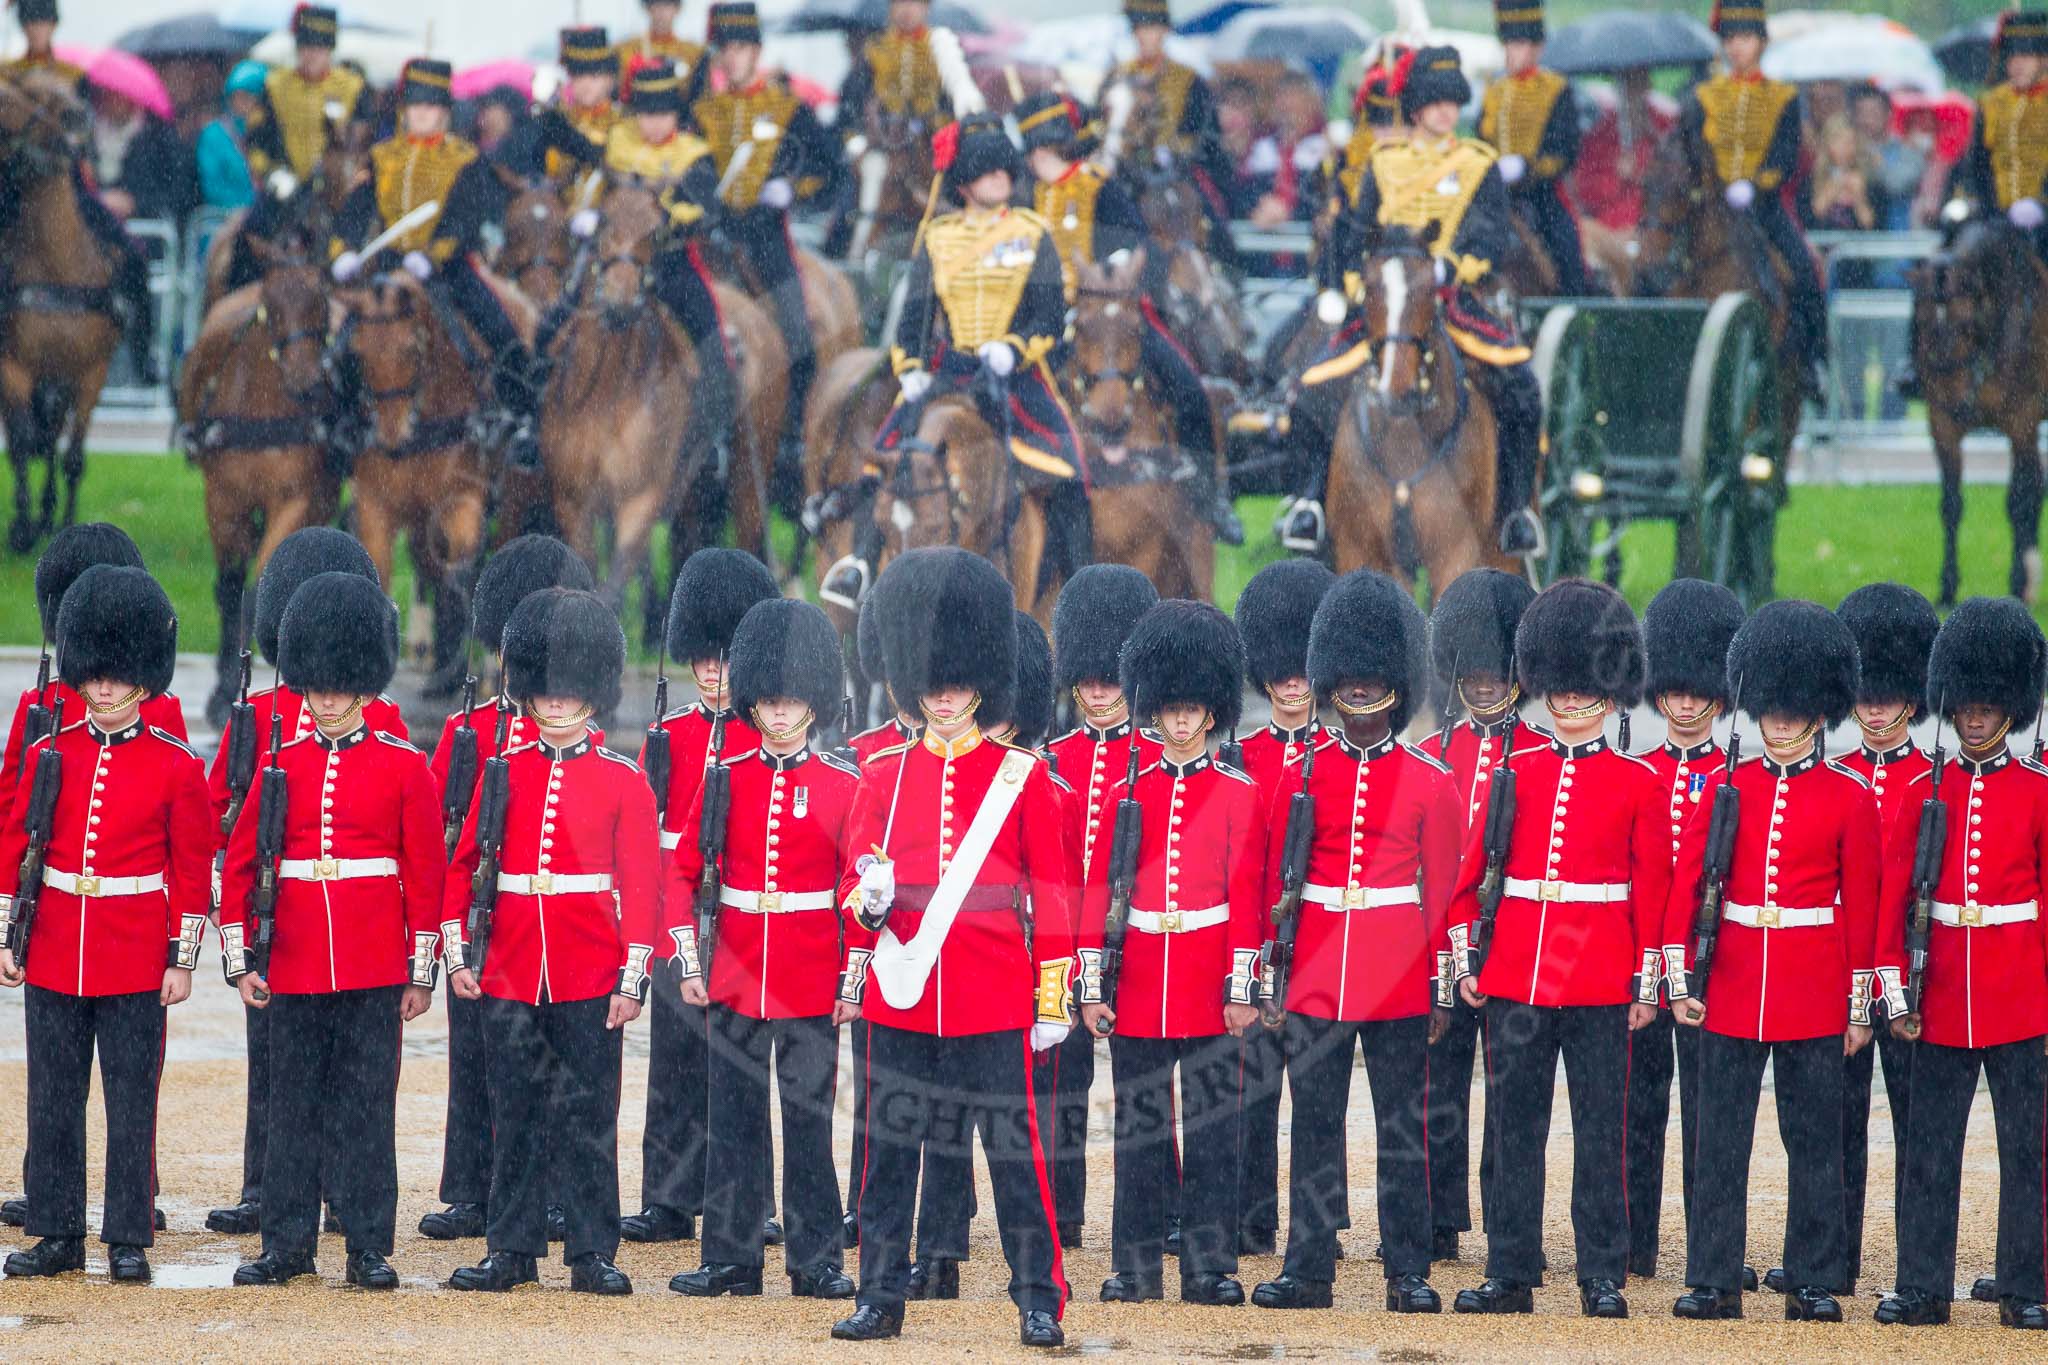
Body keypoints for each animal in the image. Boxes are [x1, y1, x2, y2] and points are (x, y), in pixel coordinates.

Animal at [178, 242, 342, 724]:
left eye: (322, 302)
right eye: (271, 304)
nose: (307, 382)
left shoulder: (296, 499)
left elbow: (257, 588)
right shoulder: (222, 502)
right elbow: (229, 587)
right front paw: (222, 689)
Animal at [1900, 218, 2048, 601]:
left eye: (1965, 323)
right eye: (1920, 320)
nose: (1956, 399)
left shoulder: (2022, 423)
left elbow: (2018, 501)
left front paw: (2016, 582)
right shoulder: (1942, 425)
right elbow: (1951, 504)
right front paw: (1947, 586)